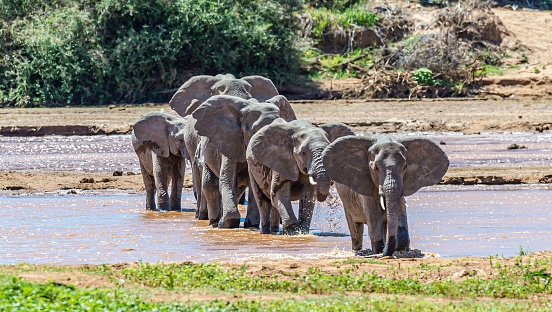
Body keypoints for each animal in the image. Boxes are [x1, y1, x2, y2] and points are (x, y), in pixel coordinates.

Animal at [194, 94, 298, 228]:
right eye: (252, 131)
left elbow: (255, 186)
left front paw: (251, 225)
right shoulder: (230, 140)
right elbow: (227, 179)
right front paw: (227, 222)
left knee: (238, 188)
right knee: (210, 184)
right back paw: (214, 222)